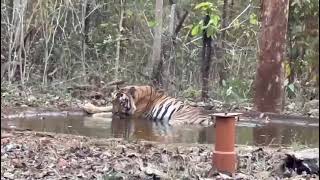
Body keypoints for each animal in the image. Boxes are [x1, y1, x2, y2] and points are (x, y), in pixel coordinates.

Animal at [84, 84, 215, 126]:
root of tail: (208, 117)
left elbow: (107, 114)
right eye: (113, 101)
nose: (115, 111)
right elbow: (105, 109)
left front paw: (93, 115)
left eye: (122, 102)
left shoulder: (132, 115)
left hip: (175, 120)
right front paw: (88, 106)